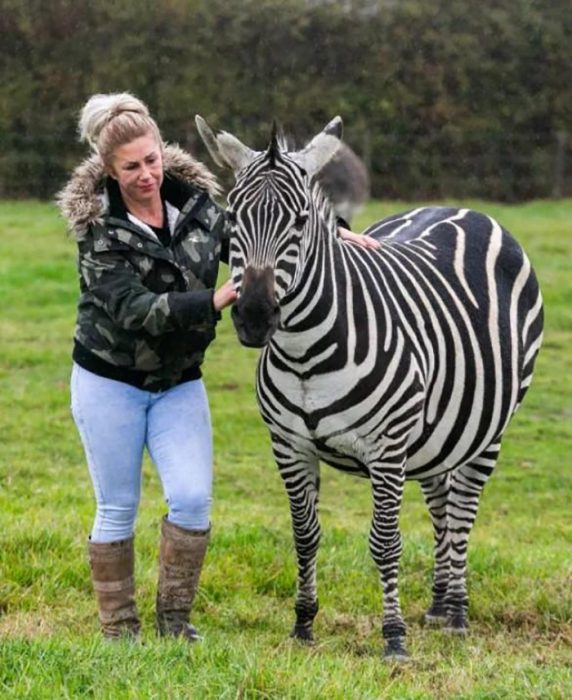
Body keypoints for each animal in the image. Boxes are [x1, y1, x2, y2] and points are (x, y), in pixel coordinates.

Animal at [197, 113, 544, 656]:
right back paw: (438, 606)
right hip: (434, 434)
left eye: (300, 221)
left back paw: (458, 612)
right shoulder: (289, 445)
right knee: (441, 500)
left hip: (488, 430)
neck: (305, 354)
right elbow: (305, 535)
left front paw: (394, 637)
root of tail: (462, 208)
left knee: (462, 512)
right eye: (231, 219)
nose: (253, 317)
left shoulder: (386, 447)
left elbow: (385, 542)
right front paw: (303, 624)